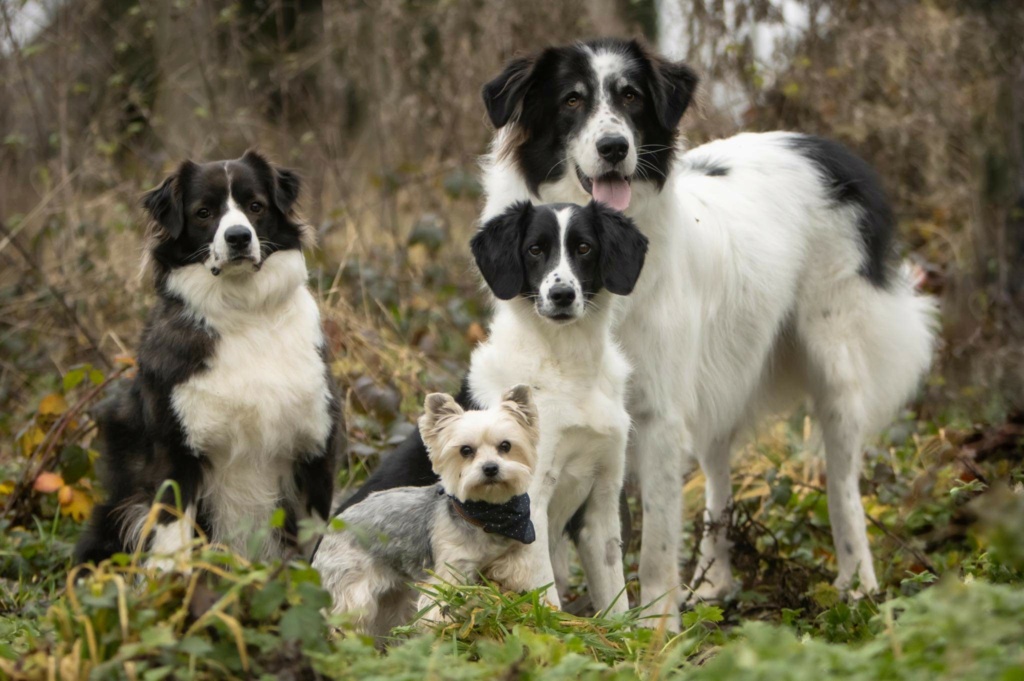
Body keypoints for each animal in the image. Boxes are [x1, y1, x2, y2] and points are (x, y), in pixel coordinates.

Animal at [74, 151, 344, 565]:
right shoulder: (176, 455)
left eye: (255, 206)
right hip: (115, 517)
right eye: (204, 213)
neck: (246, 313)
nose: (238, 237)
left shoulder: (315, 449)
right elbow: (173, 544)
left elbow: (314, 549)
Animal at [342, 38, 937, 630]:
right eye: (572, 99)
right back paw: (712, 582)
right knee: (719, 478)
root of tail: (825, 148)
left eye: (630, 96)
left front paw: (654, 630)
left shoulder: (656, 416)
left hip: (833, 366)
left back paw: (857, 585)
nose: (613, 147)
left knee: (842, 484)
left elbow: (653, 542)